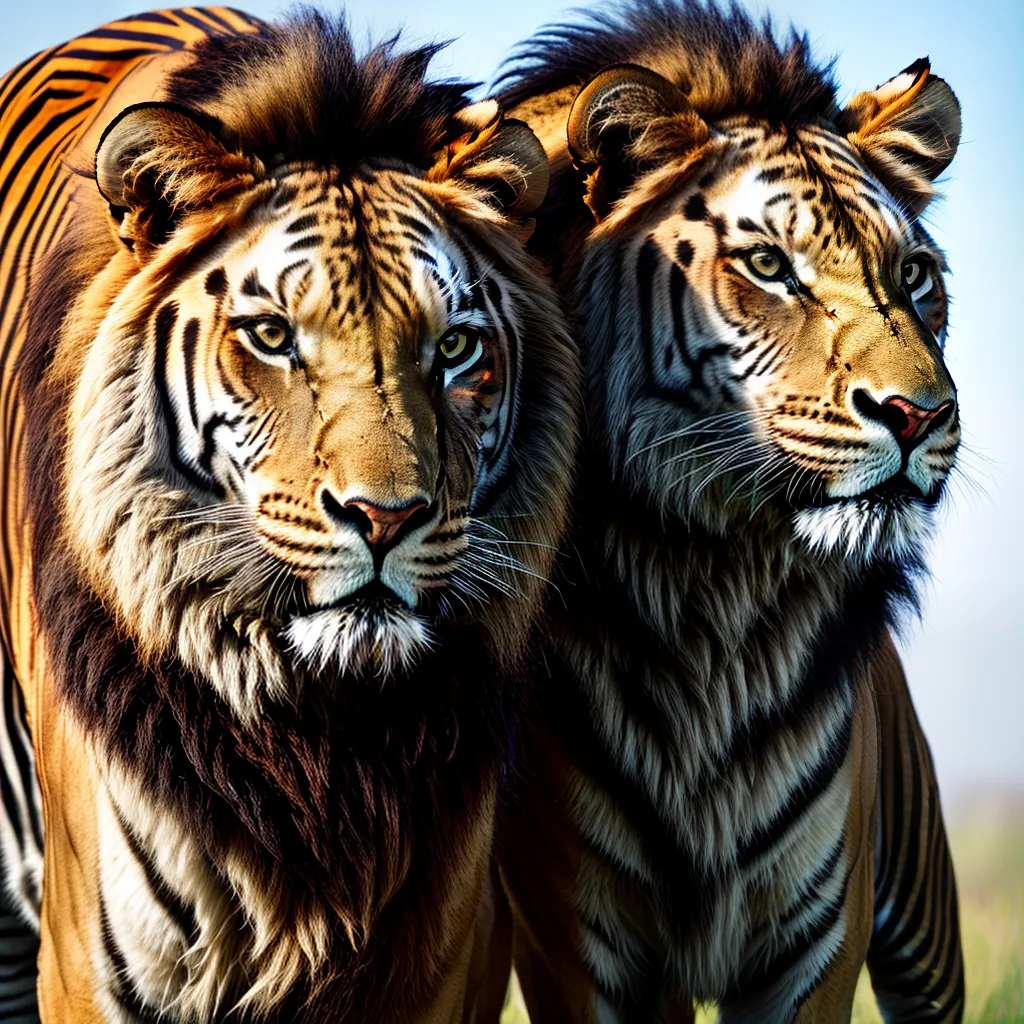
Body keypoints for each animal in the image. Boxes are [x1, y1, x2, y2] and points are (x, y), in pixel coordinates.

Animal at [0, 8, 580, 1021]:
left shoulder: (442, 959)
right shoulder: (87, 966)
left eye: (457, 349)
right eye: (272, 336)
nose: (385, 518)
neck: (324, 746)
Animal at [488, 2, 965, 1021]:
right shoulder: (580, 947)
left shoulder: (821, 943)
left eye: (912, 276)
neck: (723, 593)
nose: (921, 415)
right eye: (768, 265)